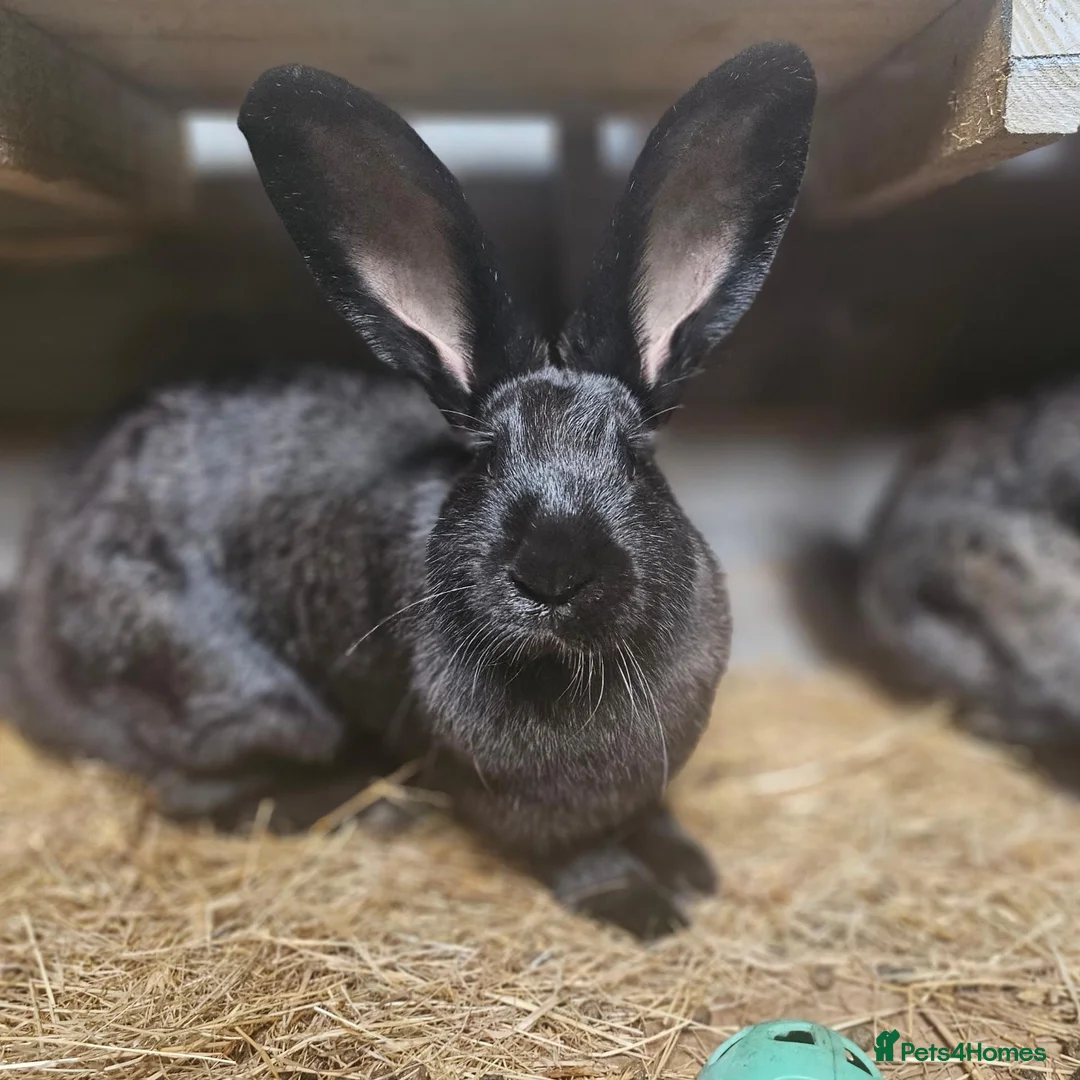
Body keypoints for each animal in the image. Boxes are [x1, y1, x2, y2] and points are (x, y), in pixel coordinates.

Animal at [5, 43, 815, 939]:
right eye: (487, 456)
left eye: (636, 456)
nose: (553, 571)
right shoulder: (512, 800)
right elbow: (575, 854)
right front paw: (642, 908)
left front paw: (689, 868)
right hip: (234, 699)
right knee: (194, 790)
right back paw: (365, 805)